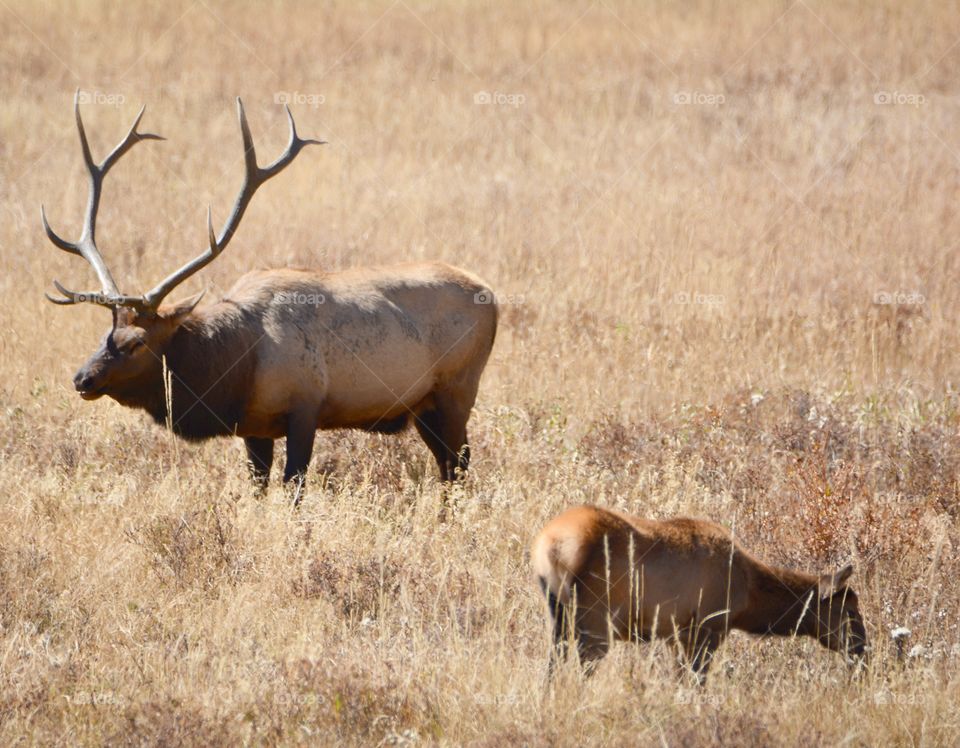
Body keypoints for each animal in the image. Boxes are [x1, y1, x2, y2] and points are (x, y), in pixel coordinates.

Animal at [43, 93, 498, 501]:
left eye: (136, 342)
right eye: (105, 333)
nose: (82, 379)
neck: (238, 364)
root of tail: (491, 295)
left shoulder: (306, 406)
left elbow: (294, 486)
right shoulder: (254, 428)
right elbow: (258, 488)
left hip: (458, 388)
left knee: (459, 465)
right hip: (424, 406)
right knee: (447, 467)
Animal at [532, 505, 867, 683]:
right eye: (850, 610)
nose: (863, 650)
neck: (749, 596)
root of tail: (550, 547)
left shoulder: (675, 633)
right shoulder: (708, 626)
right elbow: (696, 681)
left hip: (559, 617)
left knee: (551, 667)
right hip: (595, 623)